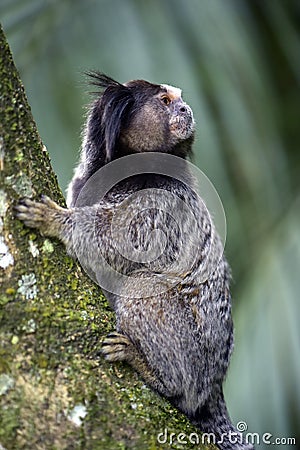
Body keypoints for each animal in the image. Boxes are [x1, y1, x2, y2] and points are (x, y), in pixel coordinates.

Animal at [15, 72, 253, 448]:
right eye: (166, 101)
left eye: (180, 101)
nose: (185, 109)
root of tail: (214, 387)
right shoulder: (81, 184)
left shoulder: (159, 198)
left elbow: (121, 243)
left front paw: (55, 220)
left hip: (193, 356)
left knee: (145, 287)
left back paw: (152, 370)